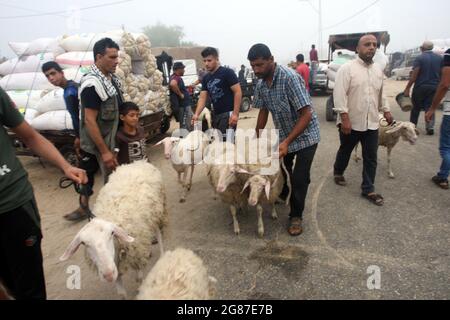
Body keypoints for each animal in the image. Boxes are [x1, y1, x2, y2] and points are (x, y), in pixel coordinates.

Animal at [59, 161, 166, 298]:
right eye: (84, 243)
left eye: (112, 233)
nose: (108, 274)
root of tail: (137, 162)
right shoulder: (117, 266)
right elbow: (121, 294)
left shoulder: (135, 250)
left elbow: (139, 277)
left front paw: (140, 285)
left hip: (157, 212)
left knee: (158, 234)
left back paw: (162, 255)